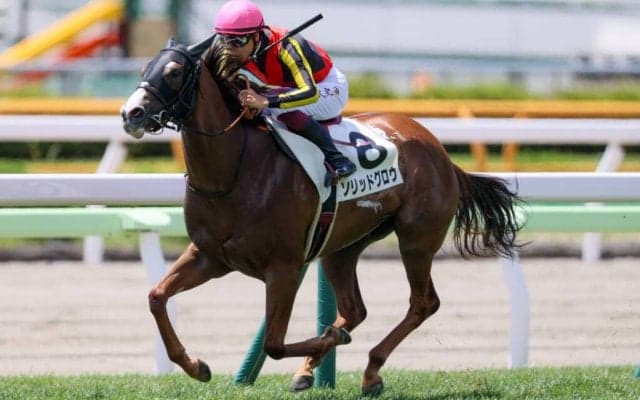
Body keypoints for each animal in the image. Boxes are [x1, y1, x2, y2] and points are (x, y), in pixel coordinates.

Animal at [121, 36, 521, 396]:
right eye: (143, 70)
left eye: (174, 72)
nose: (131, 114)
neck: (234, 170)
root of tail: (441, 151)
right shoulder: (210, 256)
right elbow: (157, 297)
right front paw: (197, 366)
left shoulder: (283, 266)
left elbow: (275, 343)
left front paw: (329, 338)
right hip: (342, 248)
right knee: (355, 309)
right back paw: (315, 369)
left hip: (416, 240)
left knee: (423, 303)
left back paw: (369, 370)